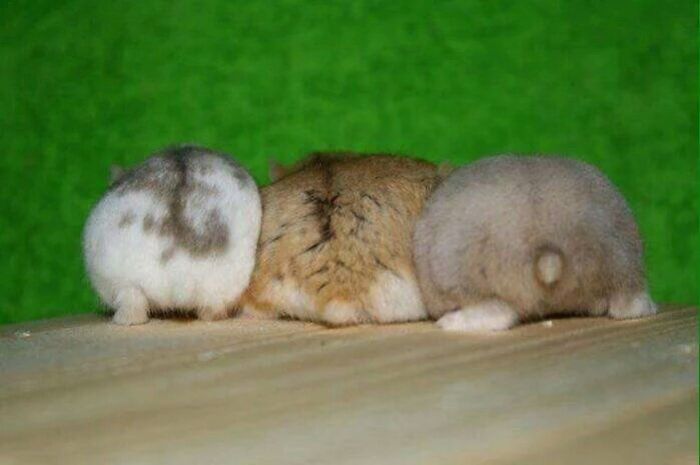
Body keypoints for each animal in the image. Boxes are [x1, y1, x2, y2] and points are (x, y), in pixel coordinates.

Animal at [413, 155, 657, 332]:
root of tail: (546, 245)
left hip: (462, 281)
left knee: (499, 313)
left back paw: (448, 323)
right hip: (623, 265)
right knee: (629, 306)